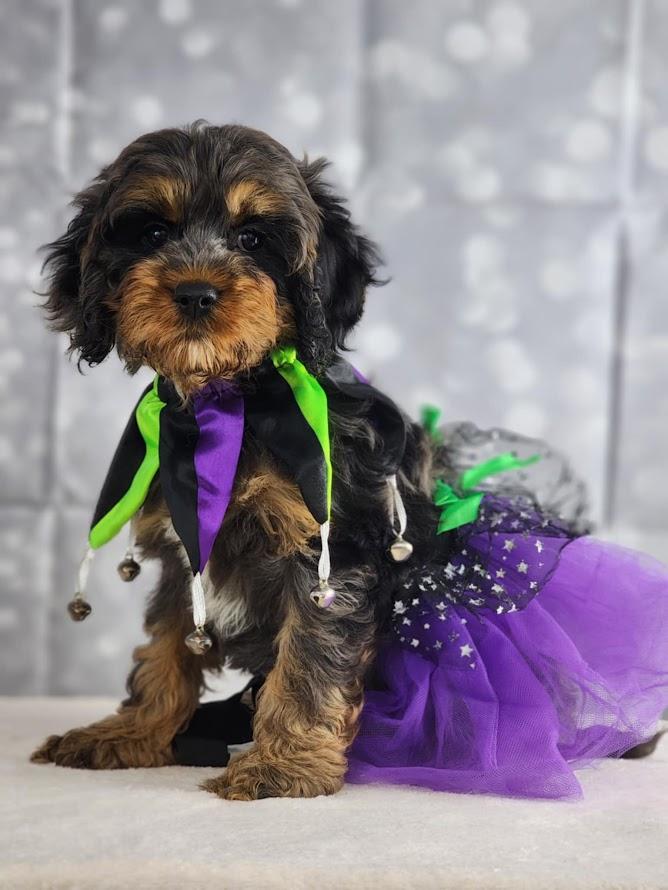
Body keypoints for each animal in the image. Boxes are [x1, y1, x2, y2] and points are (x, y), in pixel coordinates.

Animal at [30, 122, 444, 799]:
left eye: (254, 239)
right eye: (153, 233)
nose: (195, 293)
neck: (230, 400)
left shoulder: (332, 554)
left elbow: (310, 655)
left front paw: (284, 766)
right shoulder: (184, 552)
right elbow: (167, 645)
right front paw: (133, 733)